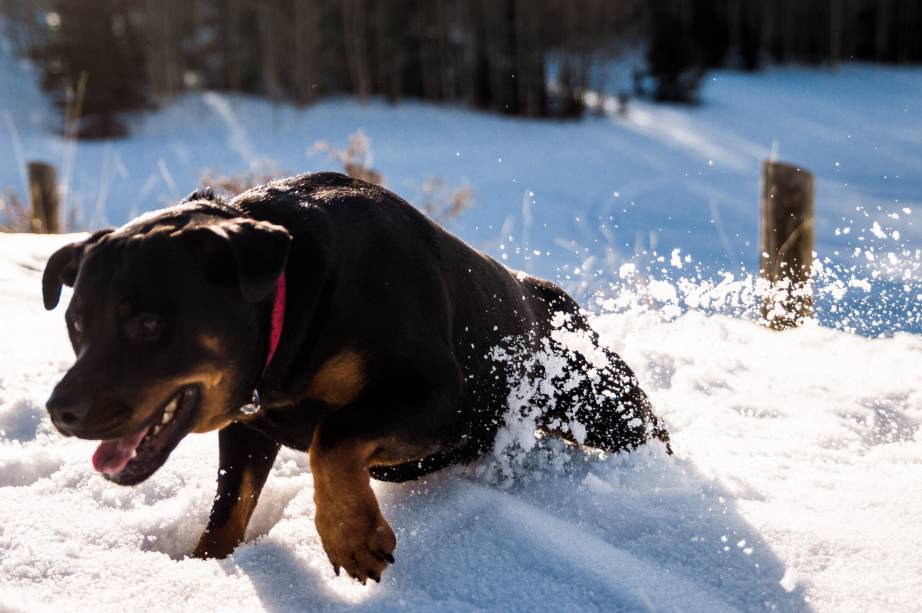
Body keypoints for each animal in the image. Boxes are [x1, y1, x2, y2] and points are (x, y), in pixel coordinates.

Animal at [41, 173, 668, 584]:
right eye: (75, 324)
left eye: (148, 325)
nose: (60, 409)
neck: (293, 307)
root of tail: (555, 298)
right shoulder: (249, 425)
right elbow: (227, 509)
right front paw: (201, 572)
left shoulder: (435, 392)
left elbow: (334, 435)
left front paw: (352, 534)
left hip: (601, 405)